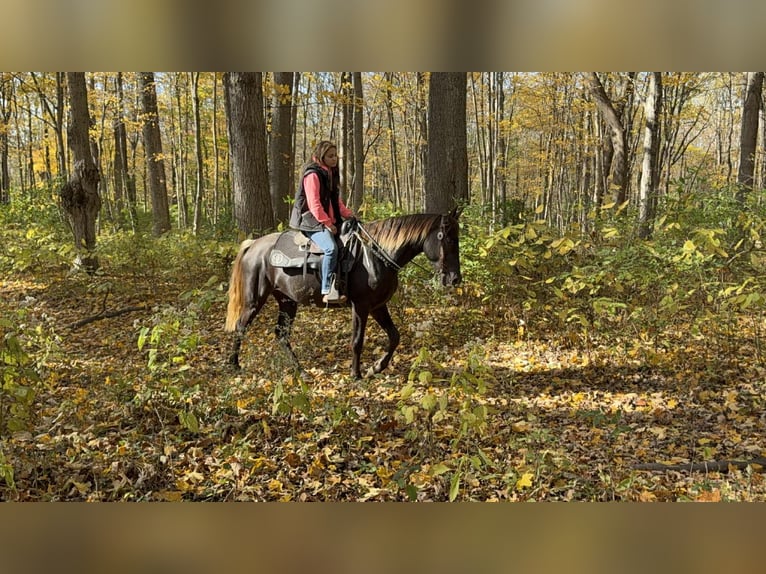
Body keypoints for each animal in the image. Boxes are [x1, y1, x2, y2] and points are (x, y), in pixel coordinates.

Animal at [224, 208, 462, 379]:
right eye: (449, 239)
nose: (455, 279)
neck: (374, 256)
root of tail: (253, 245)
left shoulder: (378, 306)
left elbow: (394, 336)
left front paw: (376, 367)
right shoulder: (361, 306)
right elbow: (357, 340)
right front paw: (356, 374)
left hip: (287, 301)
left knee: (281, 336)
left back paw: (301, 371)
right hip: (255, 300)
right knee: (241, 327)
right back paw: (233, 365)